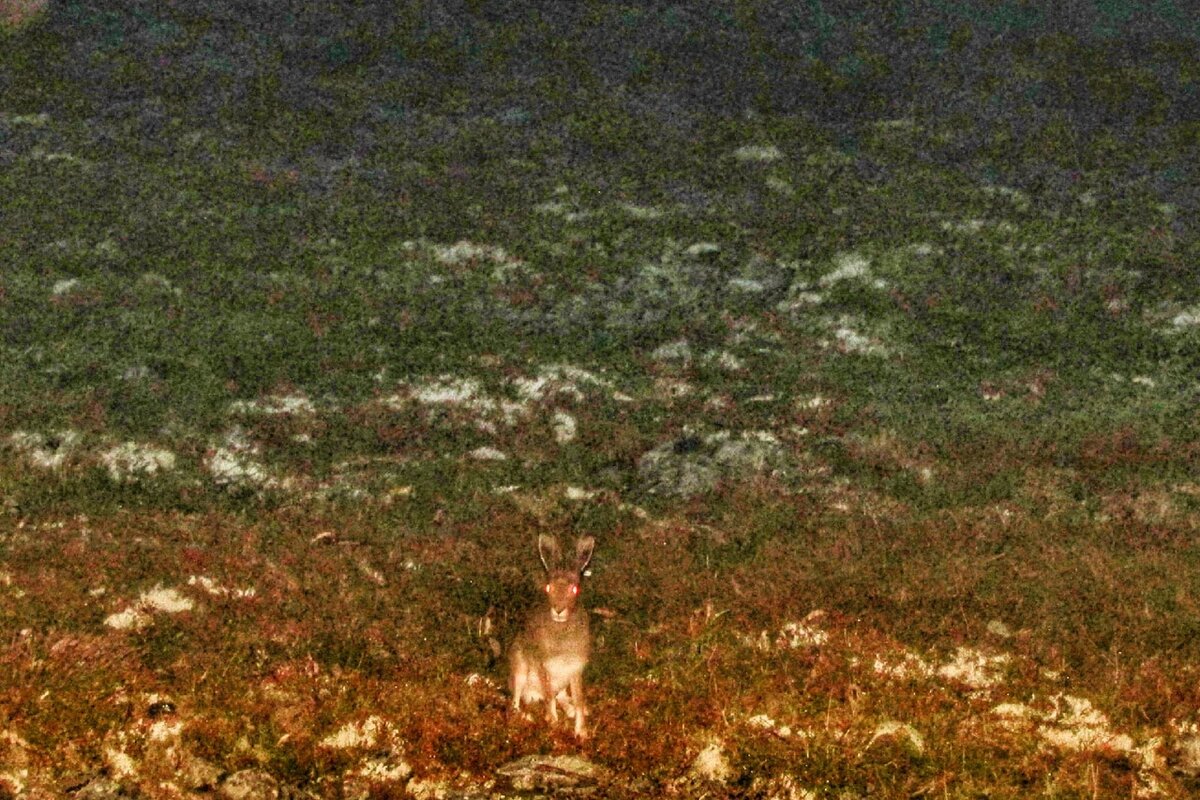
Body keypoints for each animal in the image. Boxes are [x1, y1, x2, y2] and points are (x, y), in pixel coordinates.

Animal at [508, 534, 596, 739]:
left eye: (575, 589)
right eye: (548, 588)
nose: (558, 609)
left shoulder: (575, 668)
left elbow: (578, 698)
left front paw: (582, 732)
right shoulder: (544, 666)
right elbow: (549, 697)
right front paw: (553, 724)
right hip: (520, 668)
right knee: (515, 701)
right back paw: (526, 717)